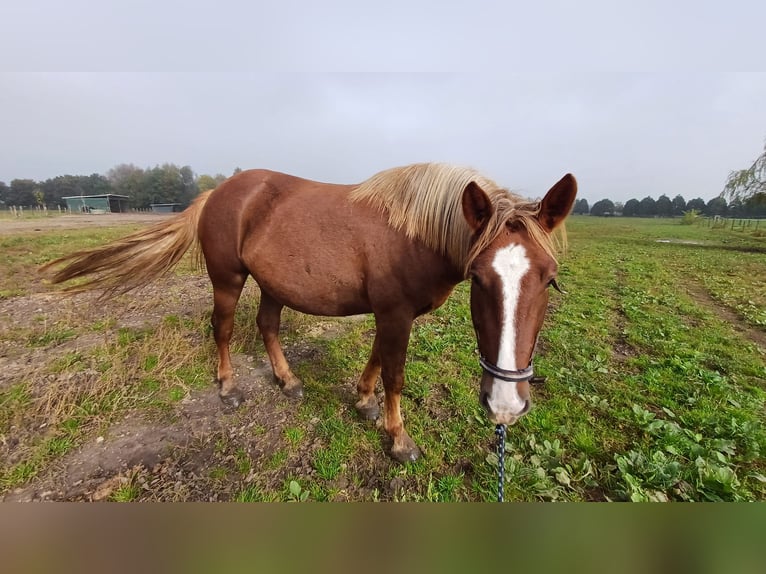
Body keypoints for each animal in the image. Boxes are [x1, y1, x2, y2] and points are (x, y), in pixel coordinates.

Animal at [42, 162, 576, 464]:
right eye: (480, 278)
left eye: (550, 279)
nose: (505, 404)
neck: (417, 231)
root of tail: (218, 193)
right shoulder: (395, 313)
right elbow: (395, 374)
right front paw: (398, 439)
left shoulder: (389, 315)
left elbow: (376, 359)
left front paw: (363, 401)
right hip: (228, 280)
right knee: (224, 328)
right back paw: (229, 387)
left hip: (273, 285)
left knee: (267, 327)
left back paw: (288, 380)